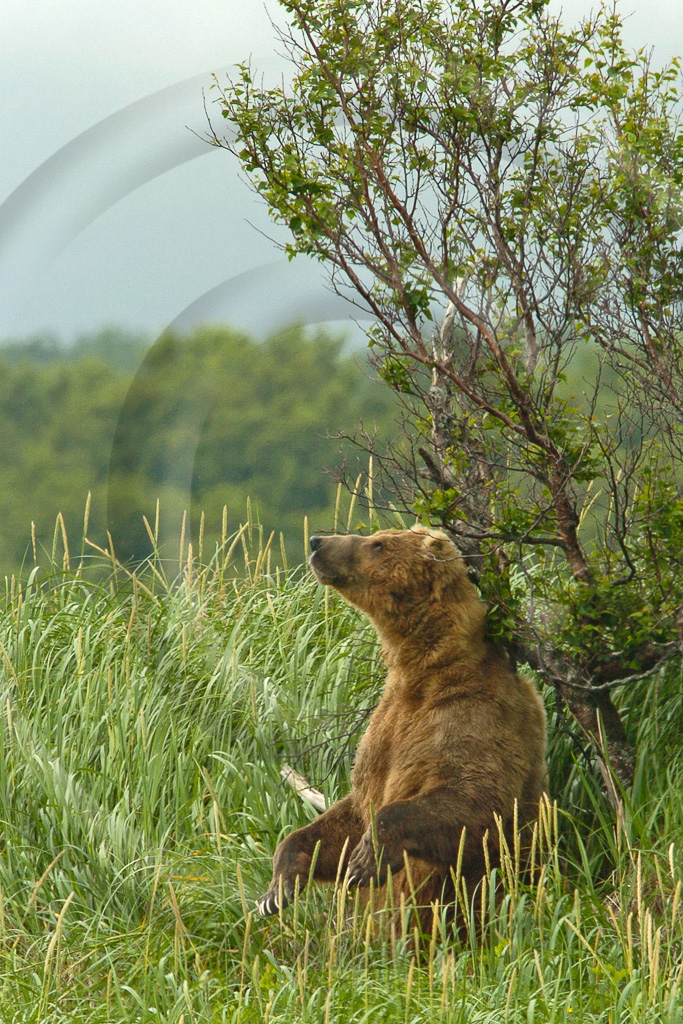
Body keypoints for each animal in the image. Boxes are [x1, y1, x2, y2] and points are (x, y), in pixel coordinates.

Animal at [255, 524, 548, 933]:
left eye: (377, 544)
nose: (317, 542)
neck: (423, 671)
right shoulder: (384, 730)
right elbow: (349, 812)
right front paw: (276, 890)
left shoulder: (473, 716)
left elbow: (477, 797)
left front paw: (366, 859)